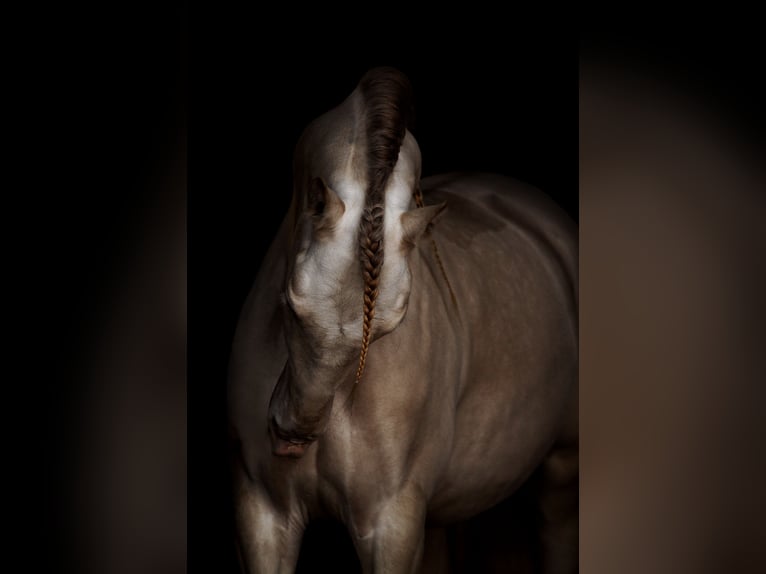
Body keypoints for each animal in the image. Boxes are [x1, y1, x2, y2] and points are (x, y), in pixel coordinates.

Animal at [228, 67, 578, 573]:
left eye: (389, 329)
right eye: (291, 305)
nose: (293, 436)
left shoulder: (390, 524)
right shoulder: (264, 513)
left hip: (559, 475)